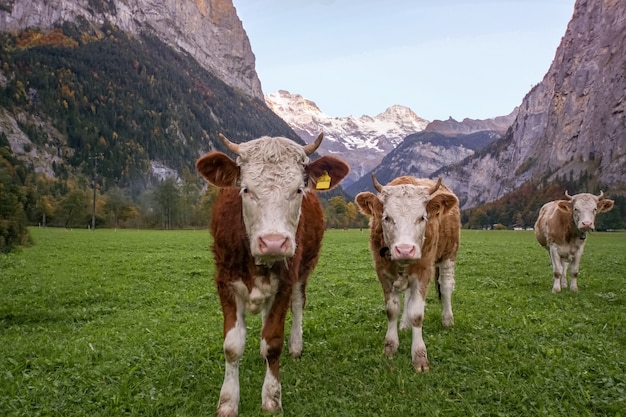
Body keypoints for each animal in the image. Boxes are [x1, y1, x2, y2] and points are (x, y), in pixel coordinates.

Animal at [195, 134, 346, 416]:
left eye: (298, 190)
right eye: (246, 190)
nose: (274, 242)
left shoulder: (285, 283)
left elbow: (273, 343)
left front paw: (272, 397)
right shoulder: (225, 283)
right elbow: (232, 346)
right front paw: (228, 401)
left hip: (303, 270)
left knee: (297, 305)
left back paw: (295, 346)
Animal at [354, 172, 460, 370]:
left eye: (422, 217)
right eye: (386, 217)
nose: (404, 250)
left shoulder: (424, 270)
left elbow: (417, 314)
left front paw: (419, 355)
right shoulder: (383, 272)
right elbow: (392, 310)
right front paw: (390, 347)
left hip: (449, 253)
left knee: (446, 286)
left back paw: (447, 319)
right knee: (409, 295)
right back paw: (404, 324)